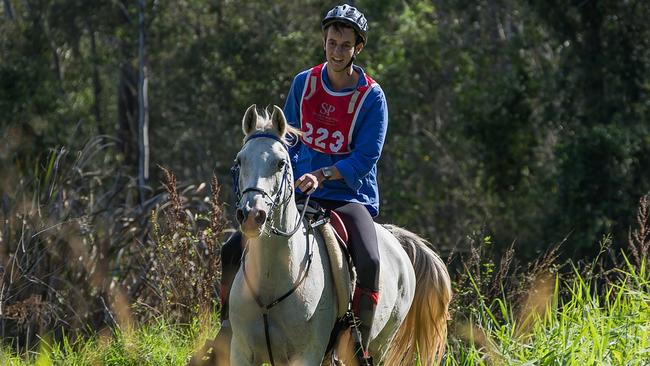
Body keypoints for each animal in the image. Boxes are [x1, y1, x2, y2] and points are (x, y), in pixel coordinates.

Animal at [228, 104, 450, 364]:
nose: (252, 215)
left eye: (281, 163)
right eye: (240, 160)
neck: (271, 279)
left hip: (379, 346)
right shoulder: (242, 351)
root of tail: (395, 237)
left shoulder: (308, 355)